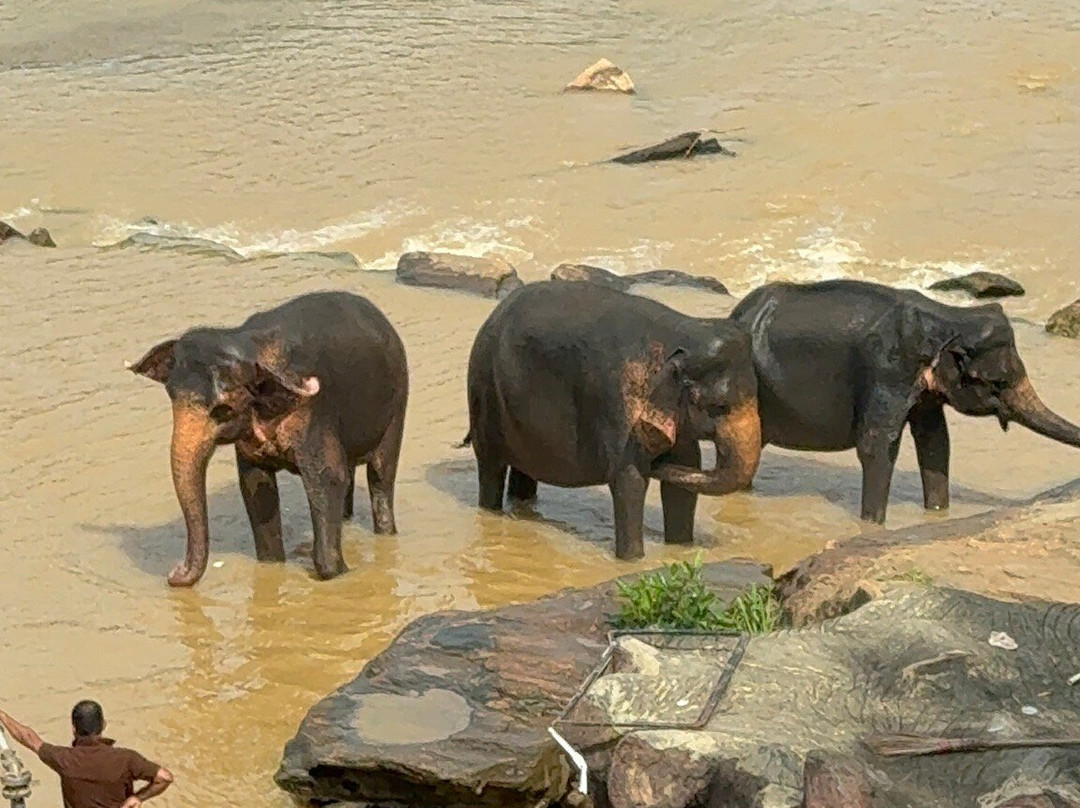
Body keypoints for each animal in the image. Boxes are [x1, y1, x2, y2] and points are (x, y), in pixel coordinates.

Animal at [128, 291, 408, 585]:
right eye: (171, 395)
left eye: (223, 409)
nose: (175, 573)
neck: (246, 344)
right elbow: (257, 489)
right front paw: (273, 563)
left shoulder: (315, 413)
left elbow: (329, 478)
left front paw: (337, 573)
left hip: (397, 404)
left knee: (380, 475)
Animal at [463, 280, 762, 560]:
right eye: (718, 407)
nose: (657, 462)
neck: (678, 333)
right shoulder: (616, 403)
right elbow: (629, 479)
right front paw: (633, 560)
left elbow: (684, 476)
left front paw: (681, 548)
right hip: (484, 392)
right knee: (491, 465)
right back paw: (492, 510)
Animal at [730, 278, 1080, 523]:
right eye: (998, 383)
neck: (945, 318)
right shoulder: (886, 369)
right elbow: (876, 445)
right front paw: (872, 524)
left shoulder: (924, 392)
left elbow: (936, 442)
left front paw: (937, 512)